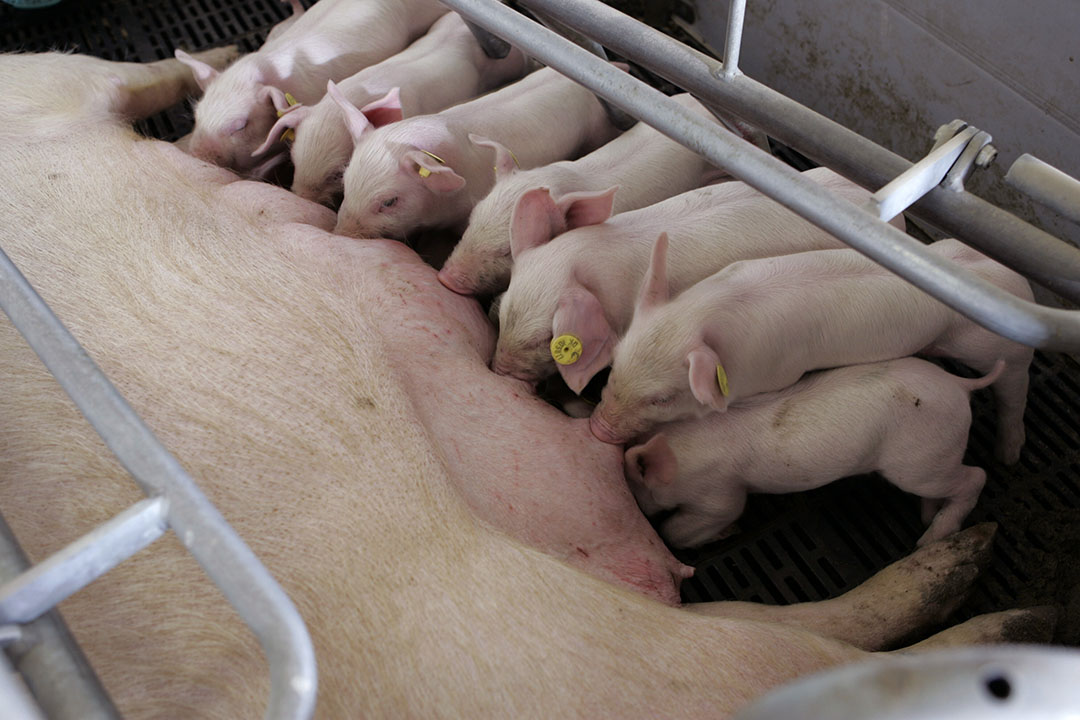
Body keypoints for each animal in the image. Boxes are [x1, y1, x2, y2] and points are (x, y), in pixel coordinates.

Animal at [591, 233, 1034, 466]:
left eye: (662, 399)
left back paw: (1008, 456)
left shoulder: (777, 372)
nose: (597, 429)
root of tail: (1020, 285)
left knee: (1015, 391)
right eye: (613, 366)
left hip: (1000, 351)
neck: (707, 313)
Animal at [625, 357, 1004, 549]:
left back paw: (928, 539)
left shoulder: (719, 493)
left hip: (919, 460)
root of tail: (959, 384)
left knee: (976, 476)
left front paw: (727, 532)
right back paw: (927, 517)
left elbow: (681, 531)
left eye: (635, 486)